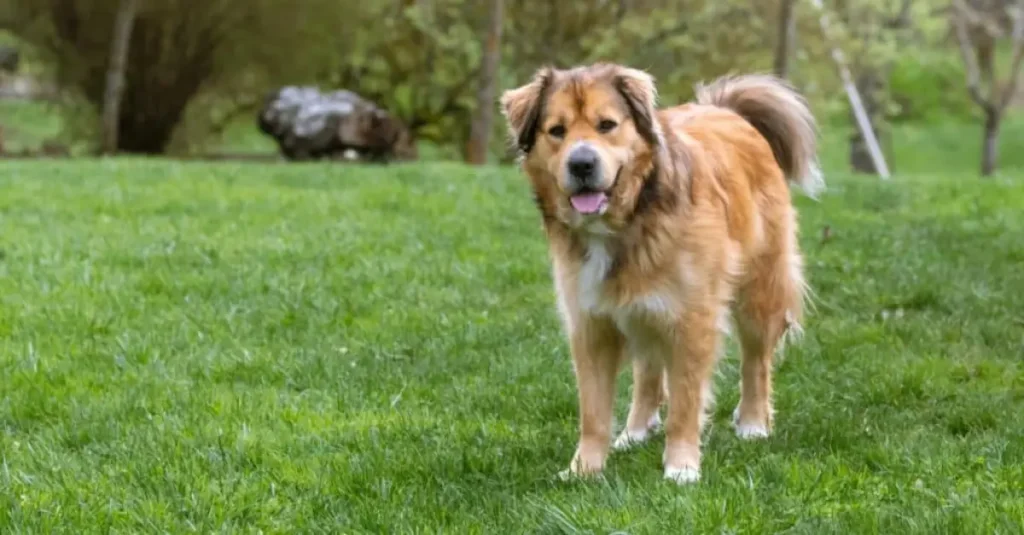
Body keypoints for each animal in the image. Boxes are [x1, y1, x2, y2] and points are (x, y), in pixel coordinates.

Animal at [497, 63, 823, 483]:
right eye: (557, 131)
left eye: (607, 125)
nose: (581, 164)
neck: (630, 218)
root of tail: (727, 111)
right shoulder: (590, 323)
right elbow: (593, 412)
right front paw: (585, 468)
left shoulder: (692, 320)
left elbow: (685, 402)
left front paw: (681, 466)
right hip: (643, 306)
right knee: (648, 369)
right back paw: (635, 430)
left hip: (759, 291)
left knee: (757, 361)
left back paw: (753, 422)